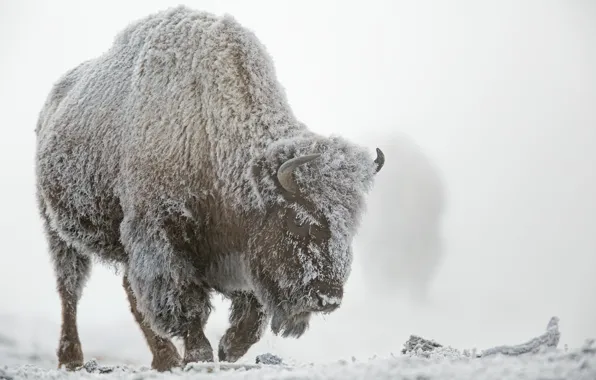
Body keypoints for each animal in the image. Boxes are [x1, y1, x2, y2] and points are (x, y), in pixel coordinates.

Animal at [33, 5, 386, 372]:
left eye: (350, 227)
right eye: (297, 221)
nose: (327, 297)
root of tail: (53, 104)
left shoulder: (235, 255)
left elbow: (250, 314)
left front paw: (229, 348)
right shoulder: (162, 233)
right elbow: (186, 302)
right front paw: (200, 355)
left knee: (129, 292)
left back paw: (164, 358)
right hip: (58, 230)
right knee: (70, 289)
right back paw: (72, 358)